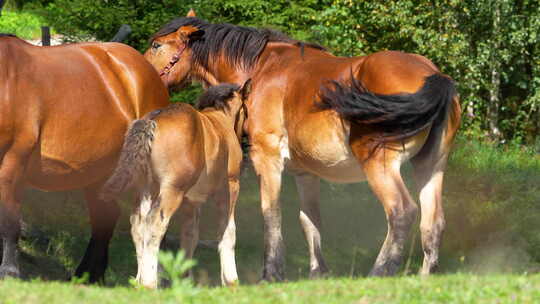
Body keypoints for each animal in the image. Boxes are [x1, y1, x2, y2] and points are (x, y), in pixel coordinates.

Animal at [0, 33, 169, 282]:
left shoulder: (13, 159)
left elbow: (10, 219)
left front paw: (9, 271)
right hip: (99, 172)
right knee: (105, 217)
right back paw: (88, 275)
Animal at [99, 82, 251, 288]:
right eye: (246, 111)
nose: (246, 141)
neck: (220, 119)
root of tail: (153, 120)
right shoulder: (229, 187)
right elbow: (227, 231)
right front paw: (231, 280)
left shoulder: (191, 201)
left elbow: (190, 235)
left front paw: (185, 279)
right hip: (171, 191)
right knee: (155, 224)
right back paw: (149, 283)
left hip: (146, 190)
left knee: (138, 225)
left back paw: (140, 280)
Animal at [142, 12, 460, 282]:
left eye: (157, 45)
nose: (145, 75)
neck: (262, 68)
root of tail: (433, 75)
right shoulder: (305, 173)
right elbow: (310, 220)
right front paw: (318, 273)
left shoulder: (267, 157)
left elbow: (271, 213)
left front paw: (271, 273)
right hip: (430, 166)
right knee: (434, 222)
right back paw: (425, 276)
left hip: (380, 164)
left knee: (401, 212)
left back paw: (379, 272)